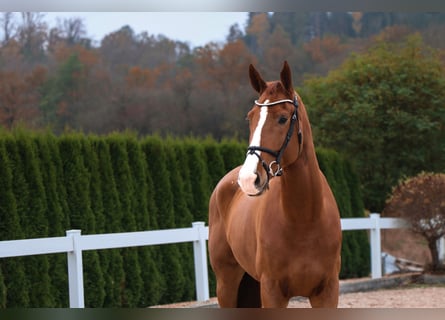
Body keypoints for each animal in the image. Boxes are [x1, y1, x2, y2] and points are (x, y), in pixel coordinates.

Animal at [207, 61, 340, 308]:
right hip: (227, 285)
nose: (248, 179)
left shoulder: (327, 291)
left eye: (283, 118)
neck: (305, 219)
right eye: (250, 117)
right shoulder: (272, 291)